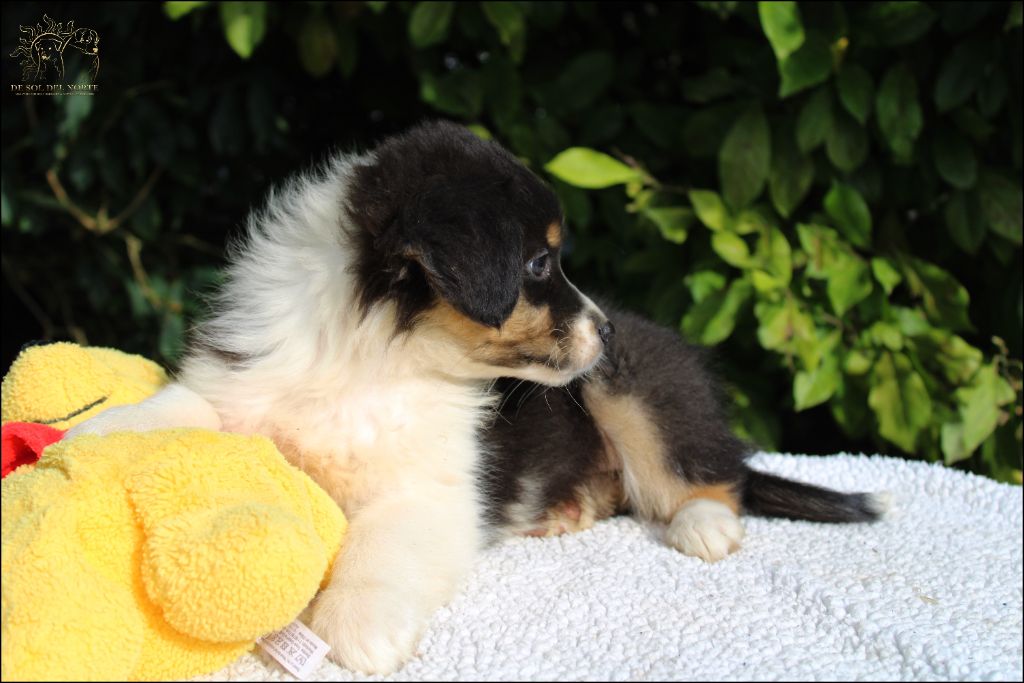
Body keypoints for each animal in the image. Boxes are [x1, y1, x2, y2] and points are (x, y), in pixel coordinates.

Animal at [66, 121, 882, 674]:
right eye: (540, 264)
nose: (605, 327)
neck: (375, 353)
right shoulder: (239, 382)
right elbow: (182, 408)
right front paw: (94, 435)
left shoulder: (431, 486)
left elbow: (381, 543)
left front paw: (359, 626)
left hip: (632, 386)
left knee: (707, 469)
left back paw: (704, 525)